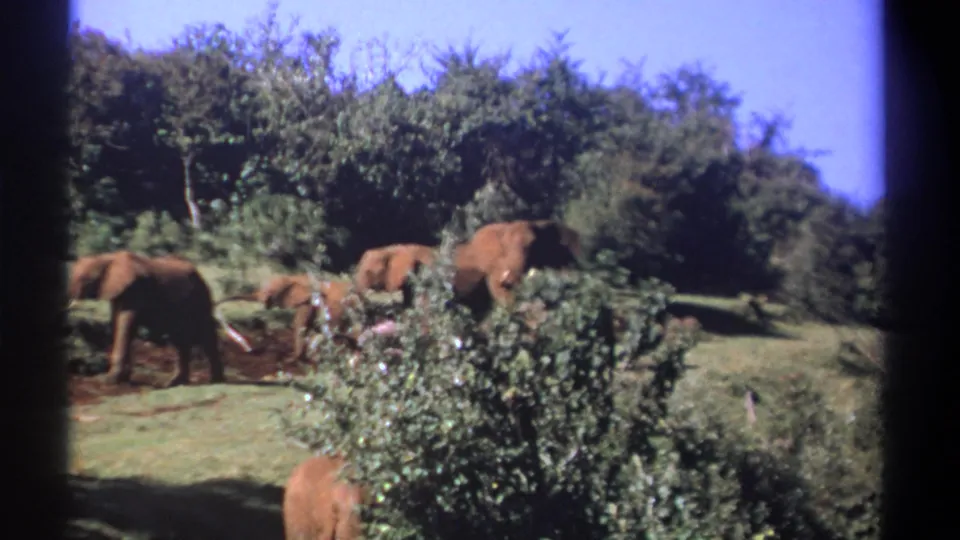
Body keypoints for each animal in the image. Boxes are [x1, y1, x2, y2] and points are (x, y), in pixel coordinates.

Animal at [66, 250, 254, 387]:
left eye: (84, 279)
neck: (107, 258)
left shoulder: (135, 290)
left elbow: (126, 326)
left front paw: (110, 381)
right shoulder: (118, 292)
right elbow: (119, 325)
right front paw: (123, 379)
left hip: (200, 295)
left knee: (204, 335)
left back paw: (215, 381)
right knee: (181, 339)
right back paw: (176, 382)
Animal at [217, 275, 359, 362]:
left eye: (271, 292)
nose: (250, 350)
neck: (294, 277)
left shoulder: (307, 302)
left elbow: (299, 324)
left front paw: (290, 360)